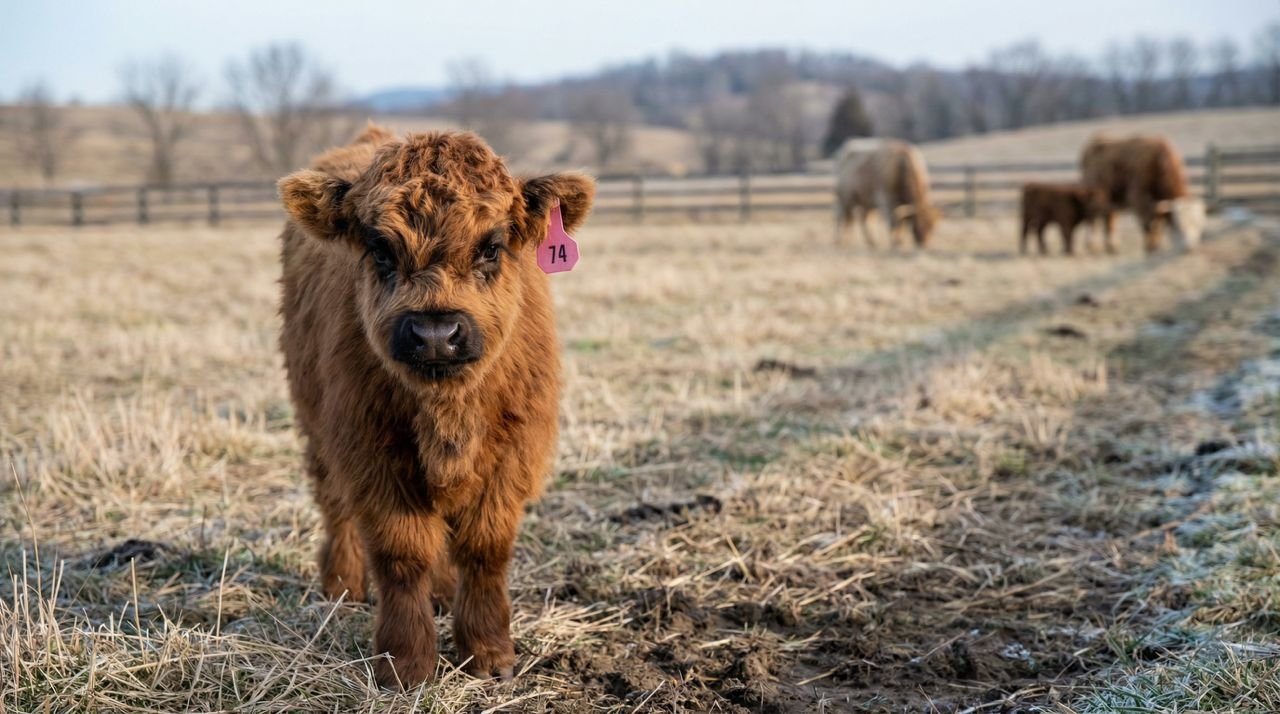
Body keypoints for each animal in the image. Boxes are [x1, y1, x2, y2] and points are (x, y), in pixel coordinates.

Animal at [277, 125, 594, 687]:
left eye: (491, 247)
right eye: (380, 249)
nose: (434, 334)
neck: (449, 414)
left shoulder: (513, 454)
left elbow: (484, 548)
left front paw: (488, 652)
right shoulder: (370, 452)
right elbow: (401, 554)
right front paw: (404, 663)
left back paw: (445, 594)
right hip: (314, 422)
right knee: (334, 504)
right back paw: (341, 587)